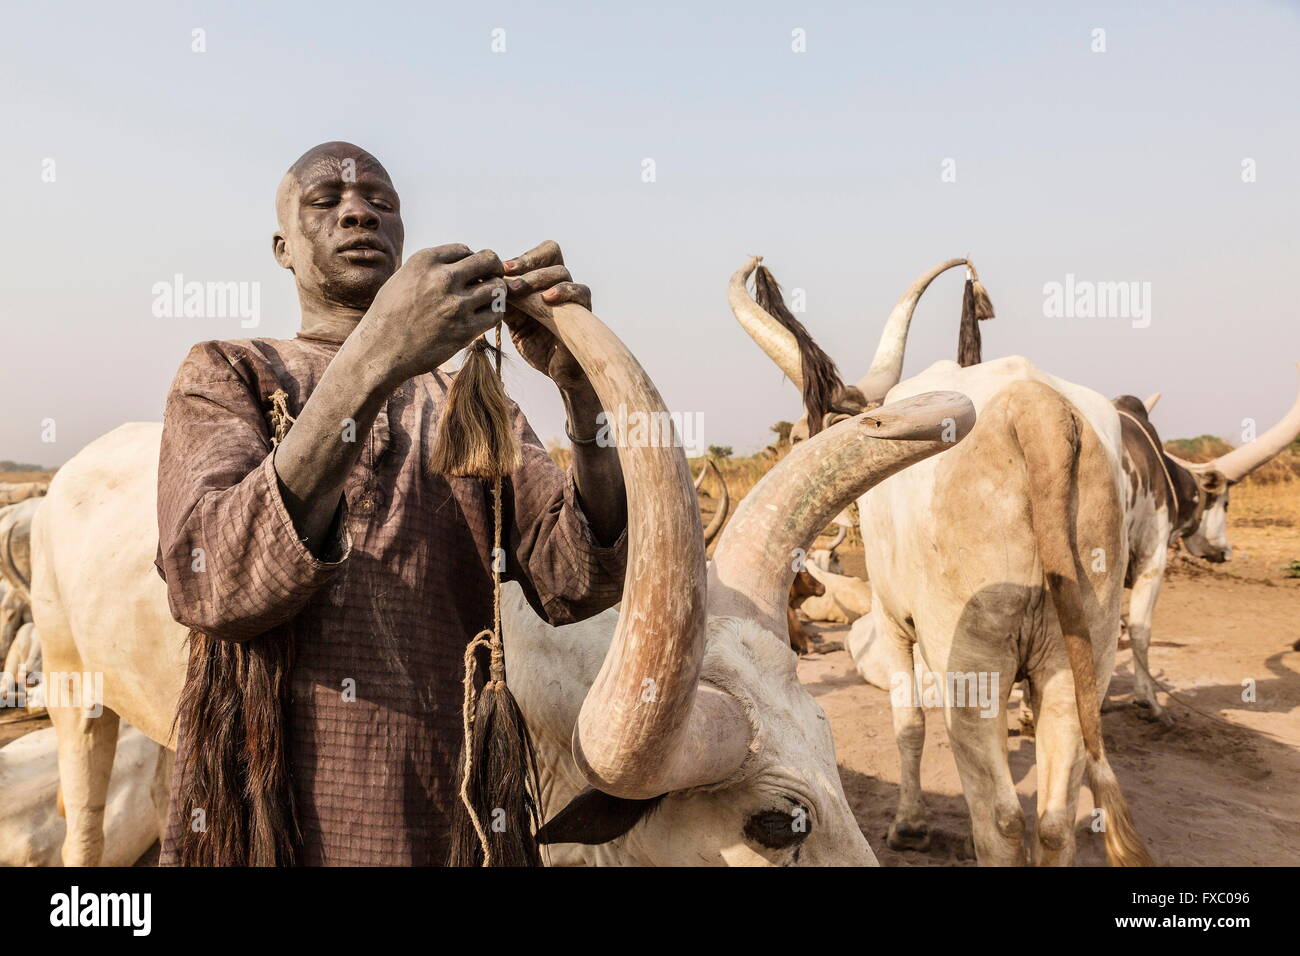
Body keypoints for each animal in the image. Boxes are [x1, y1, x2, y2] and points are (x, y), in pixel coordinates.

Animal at [738, 256, 1154, 868]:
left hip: (972, 658)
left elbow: (908, 724)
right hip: (1083, 653)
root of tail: (1036, 407)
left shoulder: (894, 621)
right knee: (1055, 819)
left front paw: (909, 826)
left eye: (795, 436)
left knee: (1001, 819)